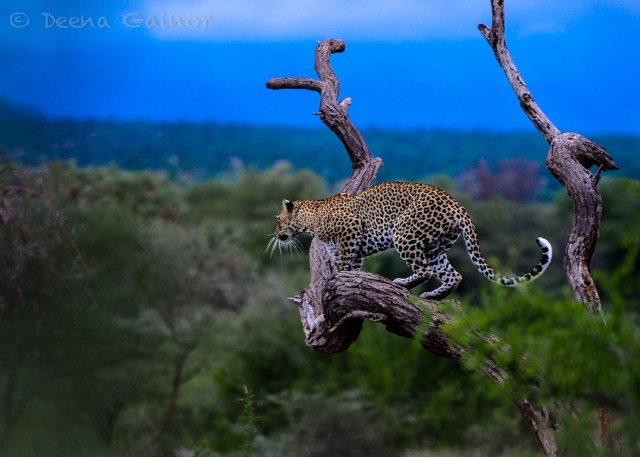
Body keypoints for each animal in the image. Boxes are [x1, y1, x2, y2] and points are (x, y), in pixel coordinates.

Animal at [270, 181, 552, 299]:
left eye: (278, 219)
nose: (275, 234)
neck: (312, 220)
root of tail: (458, 205)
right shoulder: (354, 251)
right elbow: (352, 267)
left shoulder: (350, 233)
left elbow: (346, 266)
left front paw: (341, 280)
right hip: (436, 246)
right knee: (454, 275)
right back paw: (433, 296)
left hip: (404, 233)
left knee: (425, 270)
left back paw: (403, 283)